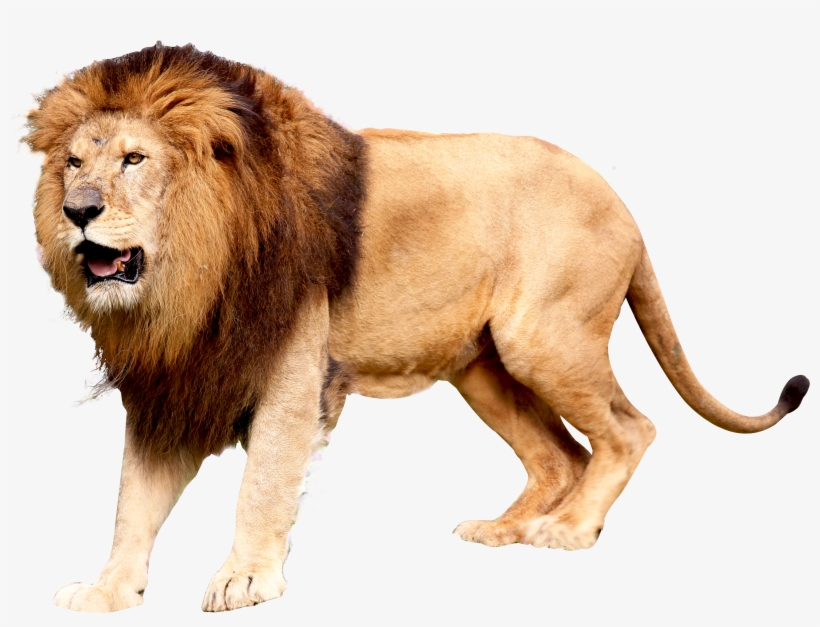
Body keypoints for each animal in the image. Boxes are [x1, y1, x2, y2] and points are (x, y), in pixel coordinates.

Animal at [26, 43, 809, 613]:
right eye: (73, 162)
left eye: (134, 159)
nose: (78, 210)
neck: (189, 277)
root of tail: (621, 202)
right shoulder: (174, 383)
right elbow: (133, 499)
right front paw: (108, 590)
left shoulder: (292, 373)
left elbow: (263, 483)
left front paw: (244, 580)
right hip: (485, 369)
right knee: (560, 456)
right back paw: (504, 529)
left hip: (543, 338)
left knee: (629, 428)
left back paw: (567, 530)